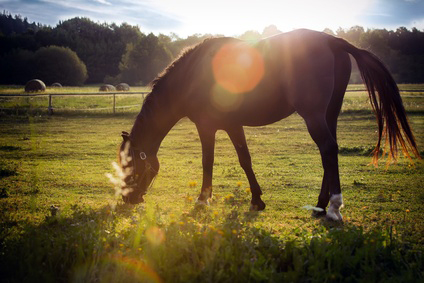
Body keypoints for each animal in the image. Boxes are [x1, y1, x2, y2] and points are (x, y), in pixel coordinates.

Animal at [117, 28, 420, 222]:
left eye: (130, 165)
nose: (128, 200)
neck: (193, 75)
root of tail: (332, 41)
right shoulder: (232, 125)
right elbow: (245, 159)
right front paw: (257, 200)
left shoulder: (208, 127)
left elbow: (209, 162)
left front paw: (204, 200)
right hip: (329, 114)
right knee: (329, 151)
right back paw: (320, 205)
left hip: (313, 115)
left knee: (327, 148)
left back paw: (334, 207)